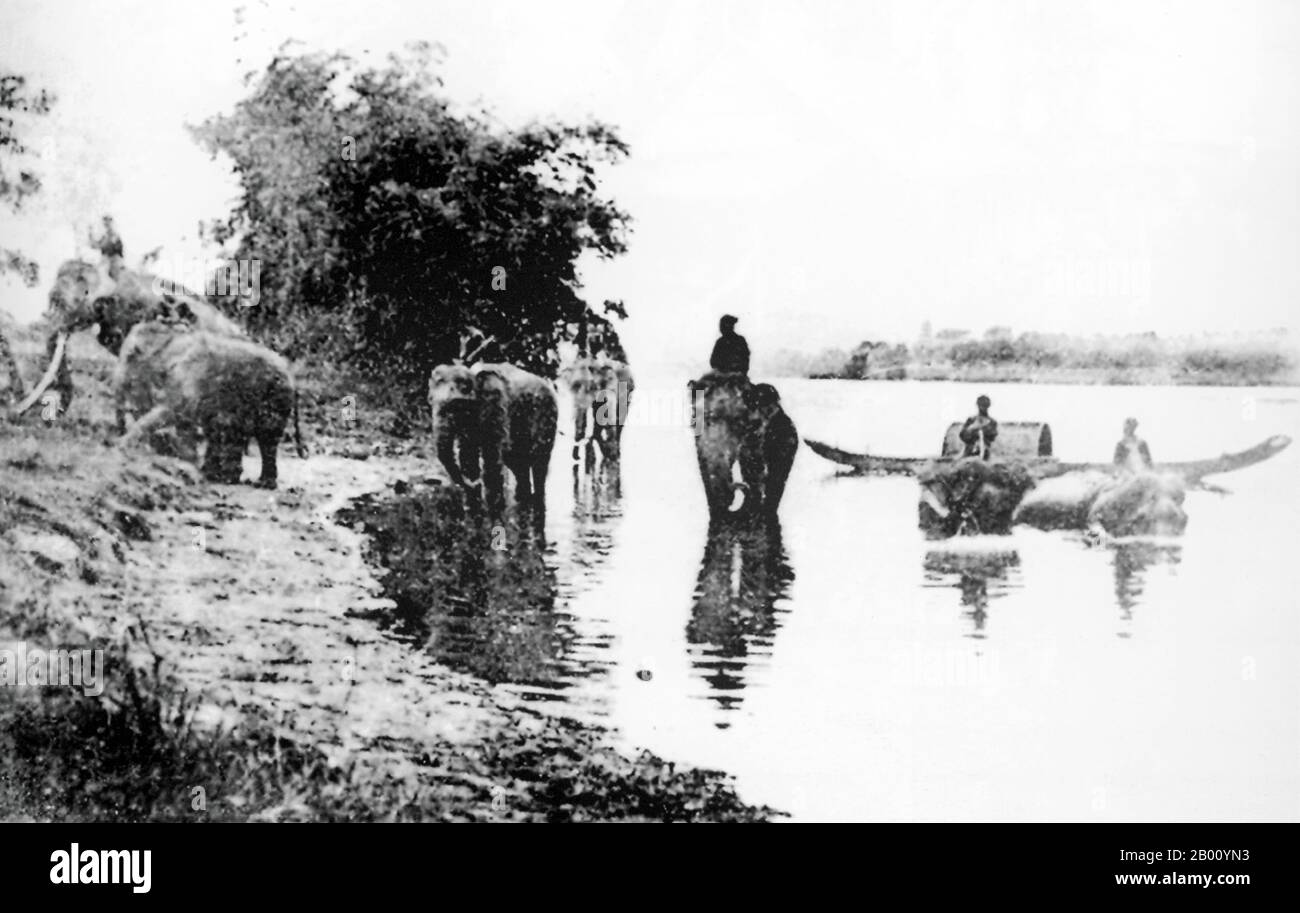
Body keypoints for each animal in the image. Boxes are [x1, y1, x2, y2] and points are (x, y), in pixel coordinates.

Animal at [112, 319, 304, 489]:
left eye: (129, 357)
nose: (118, 431)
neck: (171, 342)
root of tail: (292, 377)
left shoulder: (189, 380)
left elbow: (172, 413)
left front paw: (121, 445)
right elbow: (188, 425)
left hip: (273, 400)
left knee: (266, 440)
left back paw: (260, 483)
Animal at [428, 364, 556, 522]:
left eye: (455, 406)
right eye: (430, 401)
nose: (474, 483)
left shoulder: (495, 408)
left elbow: (491, 455)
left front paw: (495, 513)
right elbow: (468, 454)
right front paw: (474, 510)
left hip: (546, 416)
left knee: (539, 461)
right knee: (517, 462)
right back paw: (522, 499)